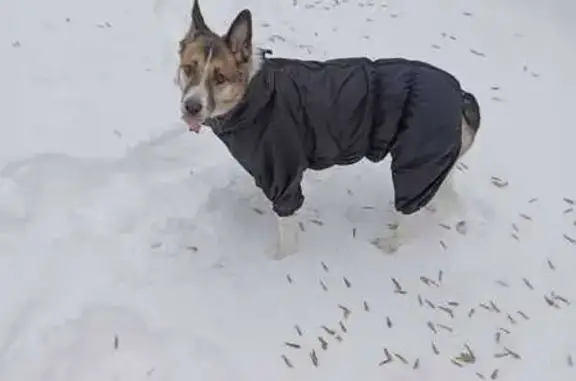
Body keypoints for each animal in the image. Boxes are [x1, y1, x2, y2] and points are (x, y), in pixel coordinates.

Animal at [176, 0, 482, 258]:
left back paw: (391, 243)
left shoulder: (284, 177)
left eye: (220, 77)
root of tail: (460, 95)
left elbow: (286, 229)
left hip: (415, 167)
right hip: (435, 165)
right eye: (188, 69)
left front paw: (280, 261)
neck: (251, 95)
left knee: (410, 213)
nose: (191, 107)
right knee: (446, 199)